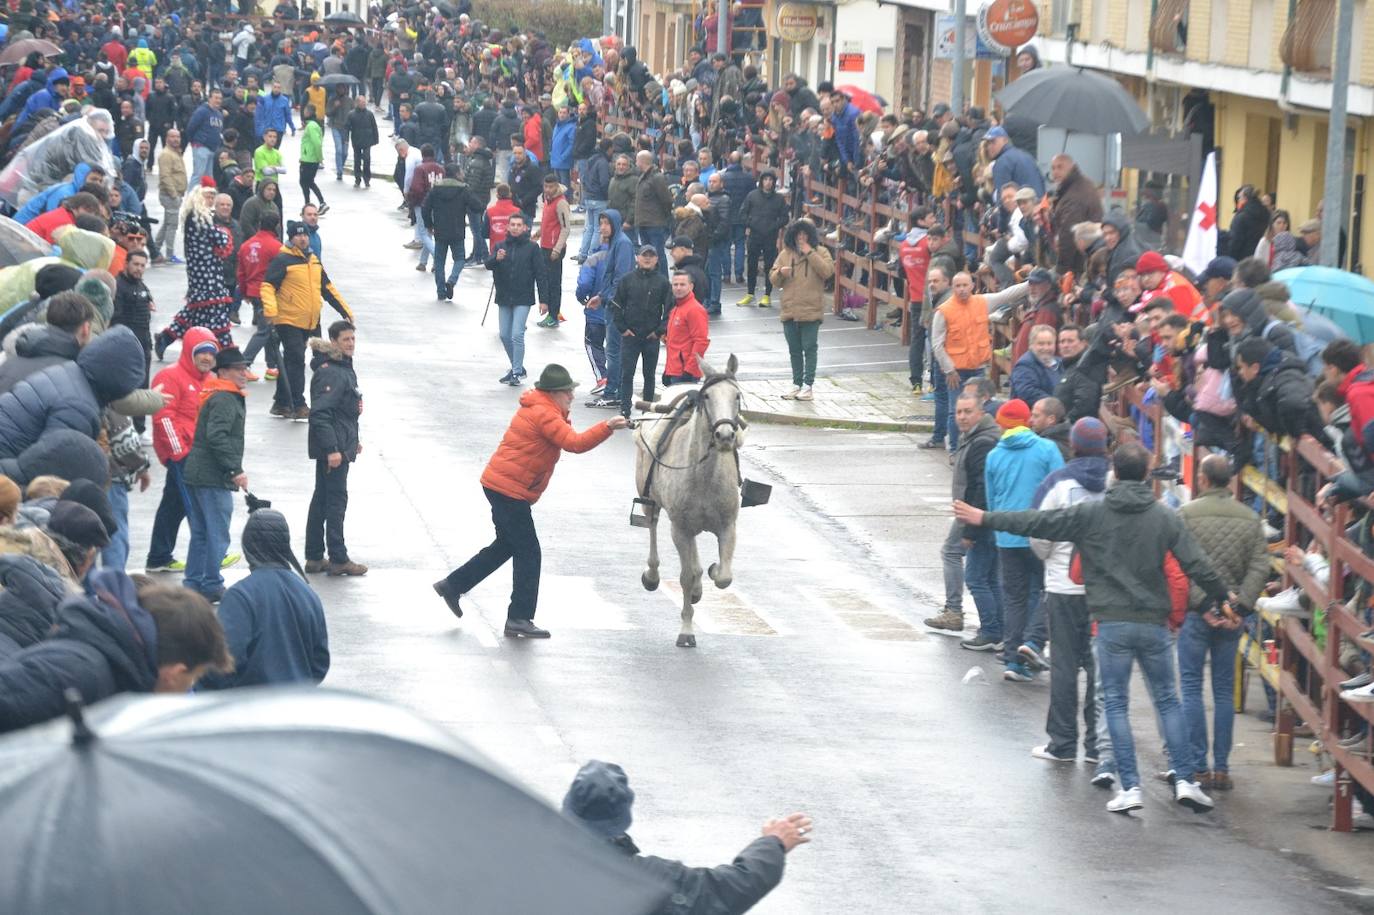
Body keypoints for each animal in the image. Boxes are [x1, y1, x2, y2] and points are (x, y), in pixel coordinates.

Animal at [634, 351, 747, 645]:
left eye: (736, 396)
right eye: (707, 396)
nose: (725, 436)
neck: (703, 476)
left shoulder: (727, 527)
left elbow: (724, 577)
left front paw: (712, 571)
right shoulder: (680, 529)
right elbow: (686, 576)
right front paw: (686, 630)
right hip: (650, 499)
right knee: (651, 525)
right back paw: (652, 575)